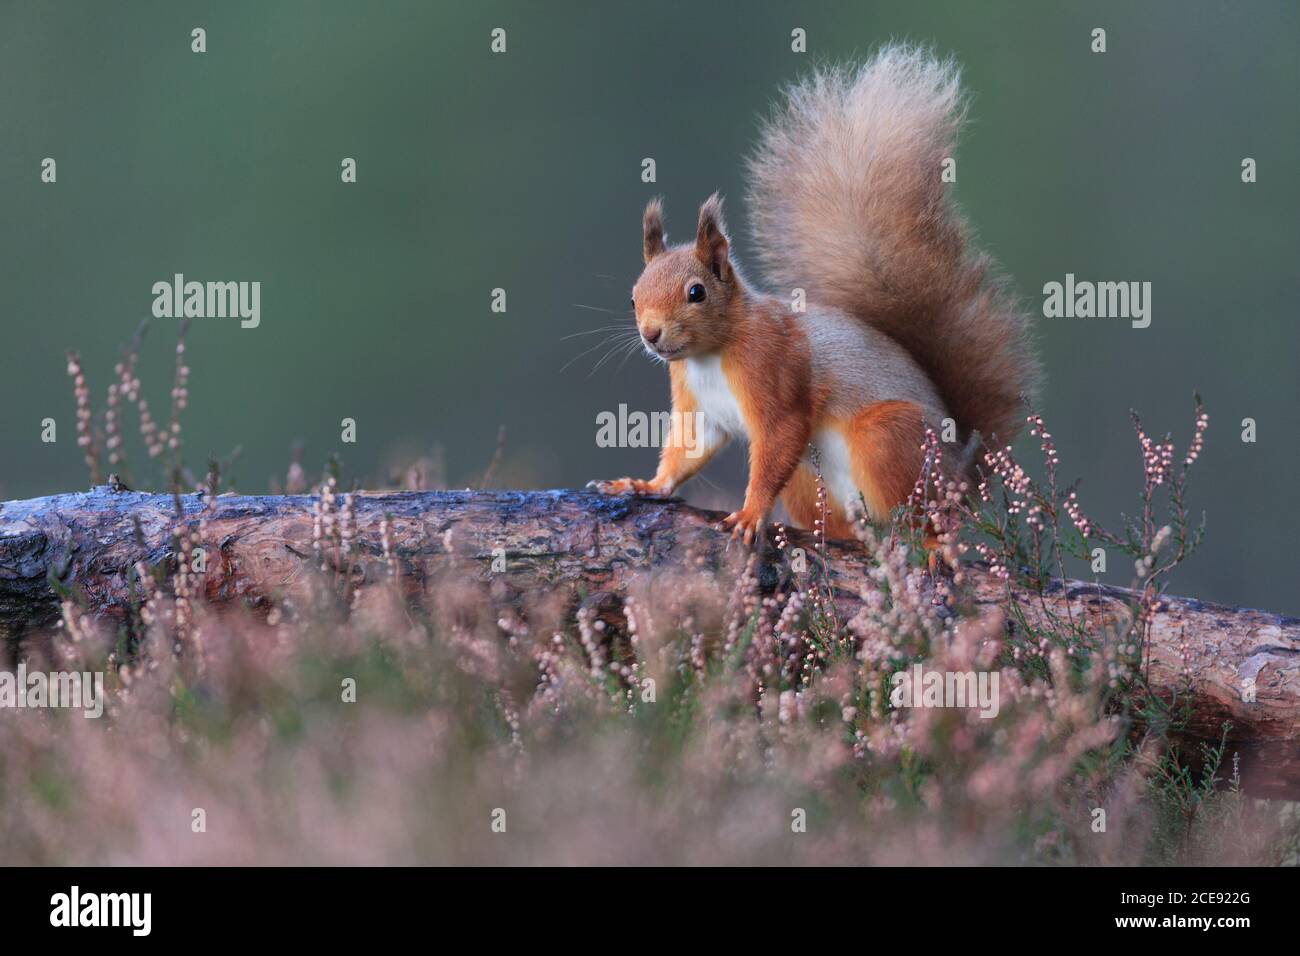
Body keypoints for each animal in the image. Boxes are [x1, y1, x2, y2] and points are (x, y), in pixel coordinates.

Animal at [590, 48, 1034, 546]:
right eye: (632, 298)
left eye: (696, 292)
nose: (651, 334)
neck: (711, 355)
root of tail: (962, 475)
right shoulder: (700, 407)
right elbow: (689, 448)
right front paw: (644, 484)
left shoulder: (774, 371)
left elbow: (779, 435)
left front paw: (750, 514)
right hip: (809, 479)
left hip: (890, 439)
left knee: (921, 515)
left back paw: (934, 542)